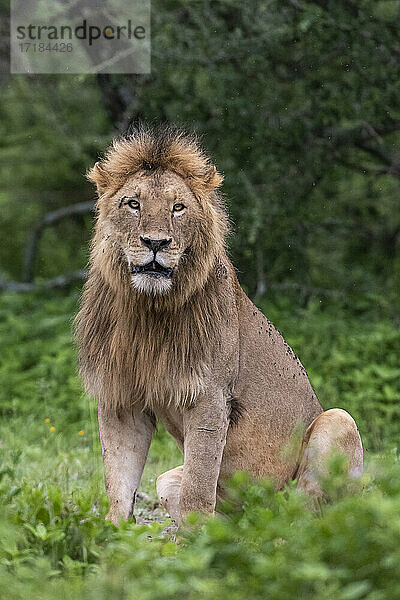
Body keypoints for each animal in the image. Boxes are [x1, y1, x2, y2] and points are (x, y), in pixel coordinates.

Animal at [74, 124, 362, 524]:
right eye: (133, 204)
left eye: (178, 208)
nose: (155, 243)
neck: (147, 310)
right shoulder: (122, 397)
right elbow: (119, 480)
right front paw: (113, 532)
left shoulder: (210, 397)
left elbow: (198, 486)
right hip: (167, 479)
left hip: (339, 421)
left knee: (306, 517)